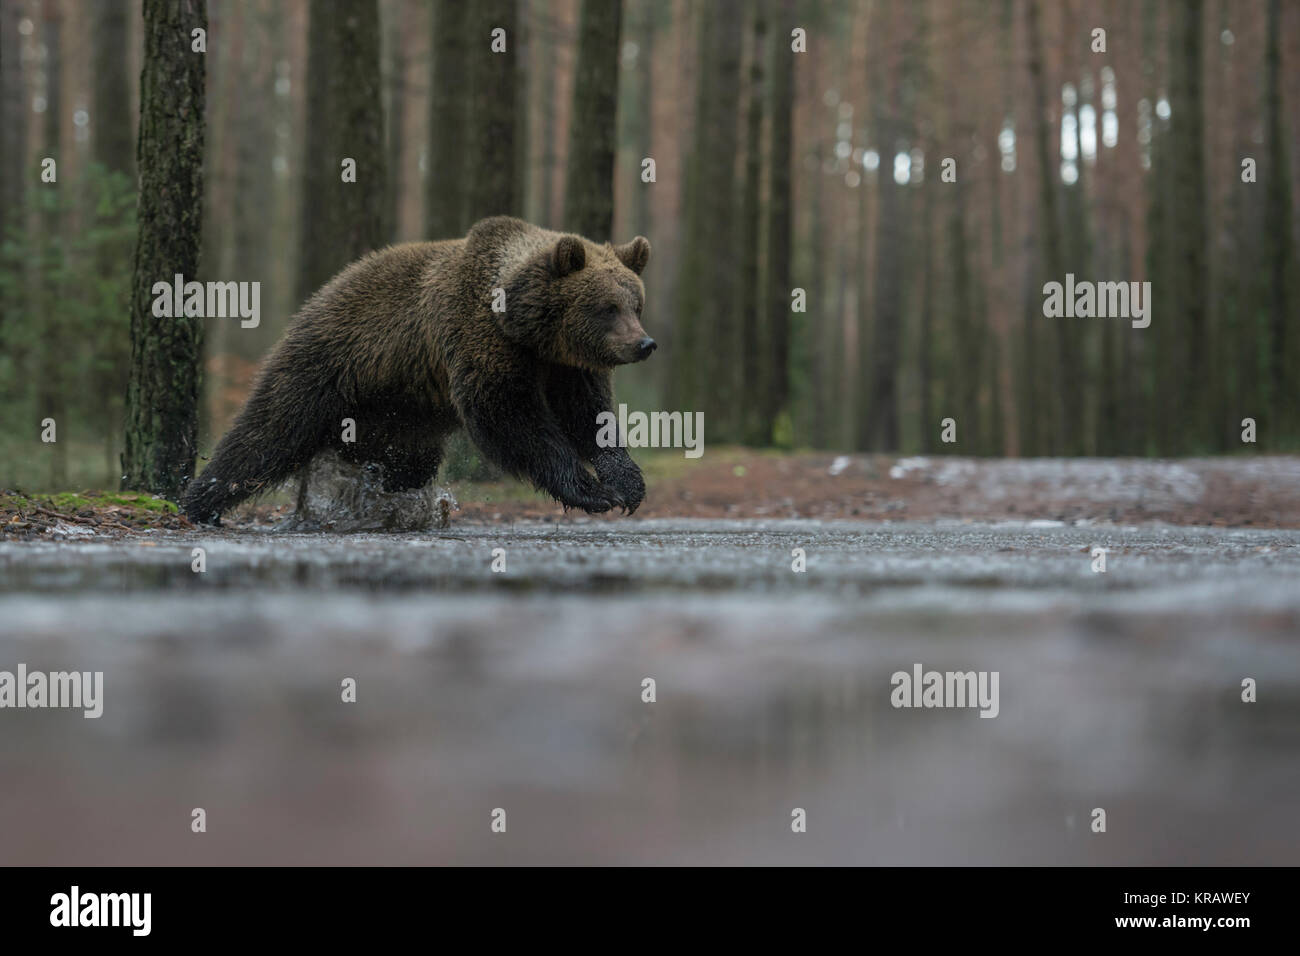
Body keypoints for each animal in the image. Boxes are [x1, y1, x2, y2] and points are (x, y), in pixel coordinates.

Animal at [180, 217, 650, 528]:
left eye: (636, 304)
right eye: (608, 307)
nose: (644, 343)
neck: (526, 329)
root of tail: (319, 295)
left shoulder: (566, 365)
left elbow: (589, 415)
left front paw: (626, 483)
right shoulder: (478, 336)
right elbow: (510, 416)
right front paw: (592, 491)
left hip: (399, 414)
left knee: (403, 464)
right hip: (326, 363)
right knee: (268, 432)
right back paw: (200, 503)